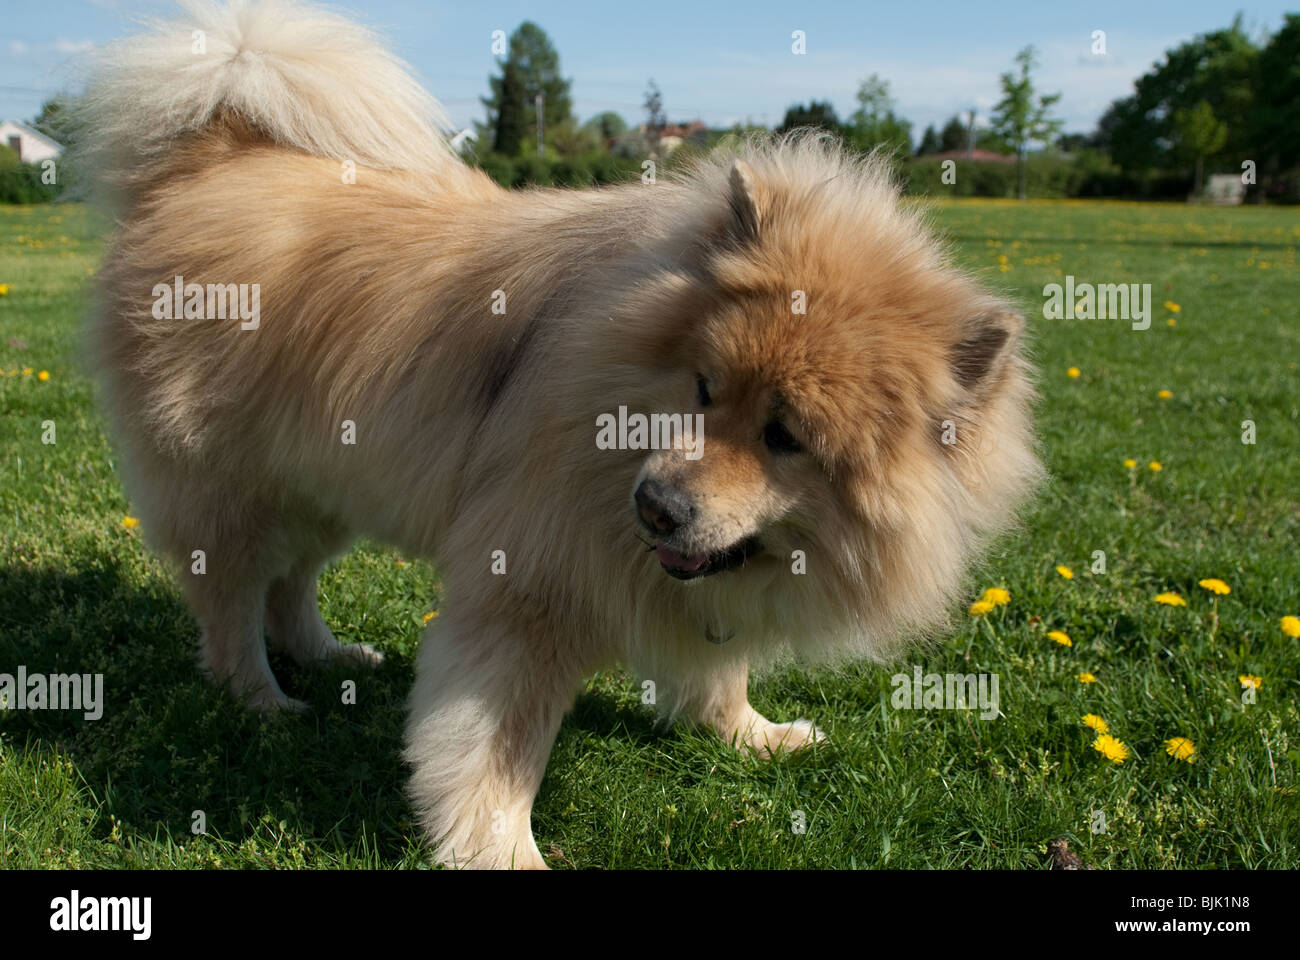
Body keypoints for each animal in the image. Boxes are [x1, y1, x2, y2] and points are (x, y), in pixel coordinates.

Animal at [78, 0, 1034, 868]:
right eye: (704, 388)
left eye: (785, 437)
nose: (656, 507)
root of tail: (215, 153)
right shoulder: (528, 591)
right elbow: (499, 749)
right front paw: (500, 850)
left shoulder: (695, 577)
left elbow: (719, 667)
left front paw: (749, 735)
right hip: (235, 488)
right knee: (233, 602)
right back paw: (264, 699)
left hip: (323, 478)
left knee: (291, 583)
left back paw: (326, 653)